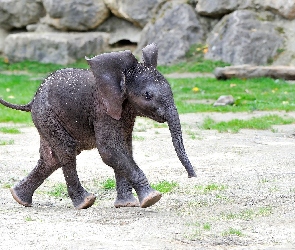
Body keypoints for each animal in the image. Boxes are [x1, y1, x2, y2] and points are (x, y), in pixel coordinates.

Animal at [0, 43, 197, 209]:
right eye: (147, 95)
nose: (192, 176)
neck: (121, 76)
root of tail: (32, 100)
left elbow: (125, 148)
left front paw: (127, 205)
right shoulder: (102, 111)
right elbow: (110, 150)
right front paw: (152, 199)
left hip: (46, 118)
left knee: (52, 158)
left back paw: (20, 198)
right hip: (47, 114)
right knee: (67, 150)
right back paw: (85, 202)